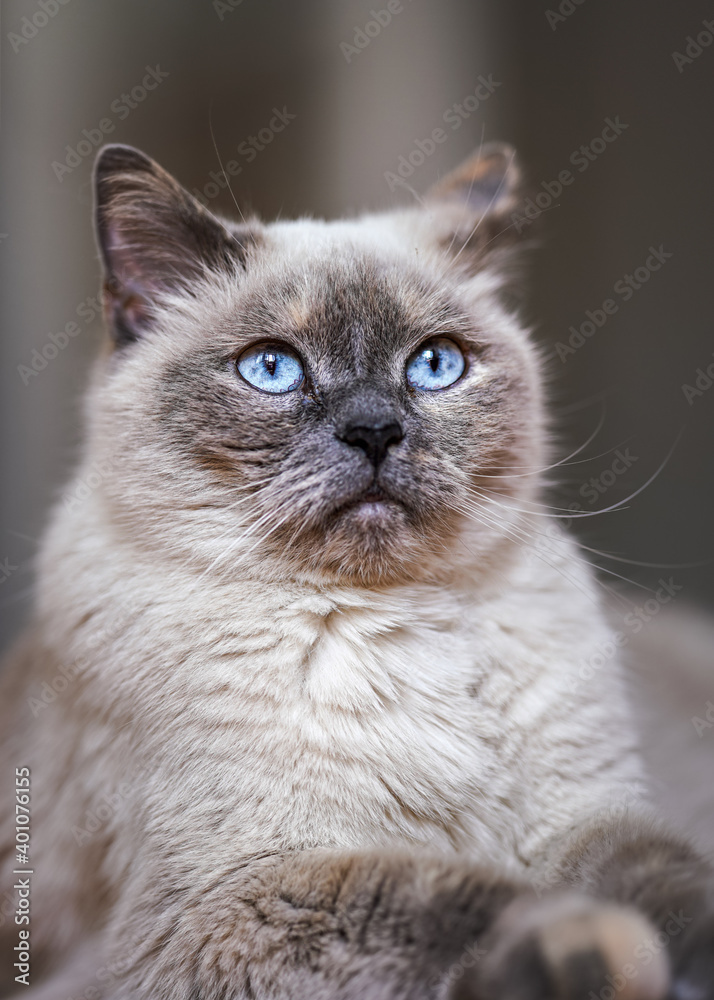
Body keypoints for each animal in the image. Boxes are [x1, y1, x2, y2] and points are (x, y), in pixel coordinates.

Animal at [0, 143, 708, 1000]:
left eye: (435, 364)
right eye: (272, 369)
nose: (374, 430)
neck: (397, 619)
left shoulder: (588, 818)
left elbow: (667, 882)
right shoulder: (230, 901)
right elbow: (477, 900)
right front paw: (596, 950)